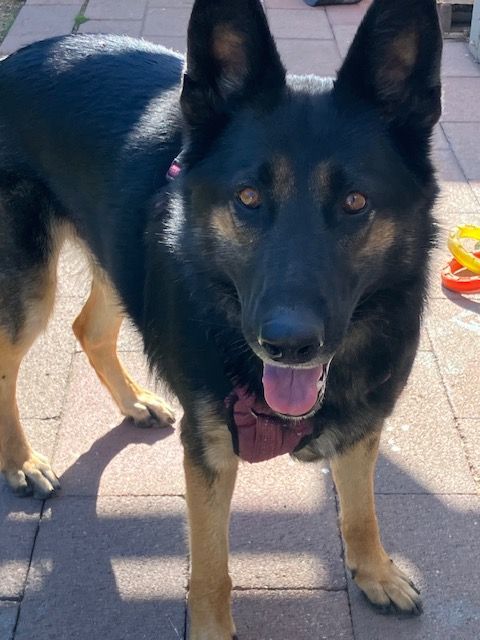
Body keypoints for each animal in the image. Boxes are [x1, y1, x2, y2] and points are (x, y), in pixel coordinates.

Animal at [0, 0, 442, 636]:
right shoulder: (208, 447)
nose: (288, 344)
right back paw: (22, 462)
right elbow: (211, 567)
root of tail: (19, 55)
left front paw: (375, 572)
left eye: (355, 203)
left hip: (122, 254)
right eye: (248, 198)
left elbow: (361, 511)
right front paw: (211, 626)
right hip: (33, 289)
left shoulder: (363, 425)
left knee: (89, 328)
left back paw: (134, 403)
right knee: (9, 362)